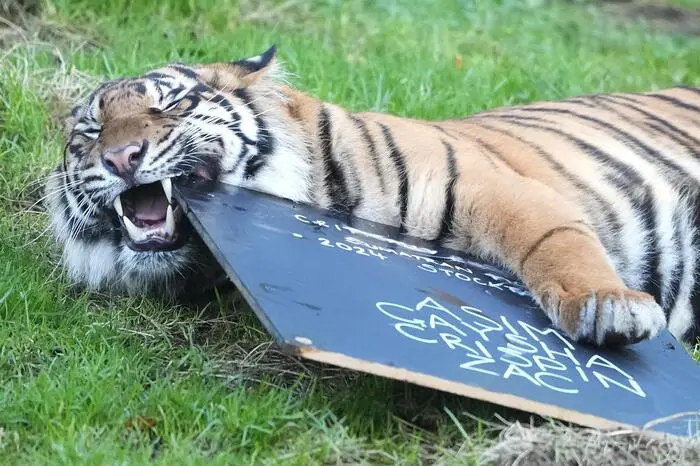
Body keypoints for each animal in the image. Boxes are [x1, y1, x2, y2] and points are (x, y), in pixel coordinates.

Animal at [44, 45, 700, 348]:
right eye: (91, 131)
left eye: (172, 105)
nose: (120, 159)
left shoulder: (502, 189)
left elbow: (557, 244)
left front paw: (608, 306)